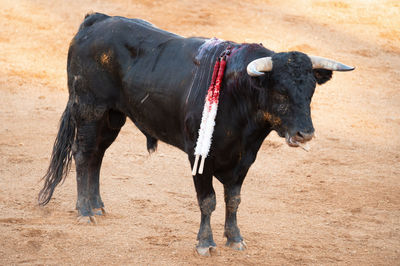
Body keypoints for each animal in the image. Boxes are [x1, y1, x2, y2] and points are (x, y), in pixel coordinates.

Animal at [39, 12, 354, 256]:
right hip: (89, 109)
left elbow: (233, 199)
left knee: (97, 155)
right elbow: (208, 200)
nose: (305, 134)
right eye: (280, 92)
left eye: (311, 91)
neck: (237, 94)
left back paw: (98, 206)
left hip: (113, 116)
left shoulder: (244, 159)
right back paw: (84, 211)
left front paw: (235, 239)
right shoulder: (199, 156)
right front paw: (205, 243)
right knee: (83, 154)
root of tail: (97, 20)